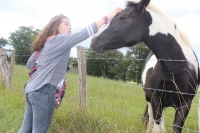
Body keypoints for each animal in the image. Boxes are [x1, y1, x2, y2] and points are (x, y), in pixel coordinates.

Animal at [91, 0, 200, 132]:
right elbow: (156, 126)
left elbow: (175, 128)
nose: (93, 41)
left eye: (122, 17)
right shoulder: (156, 99)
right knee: (151, 119)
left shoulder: (185, 104)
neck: (176, 68)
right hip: (150, 99)